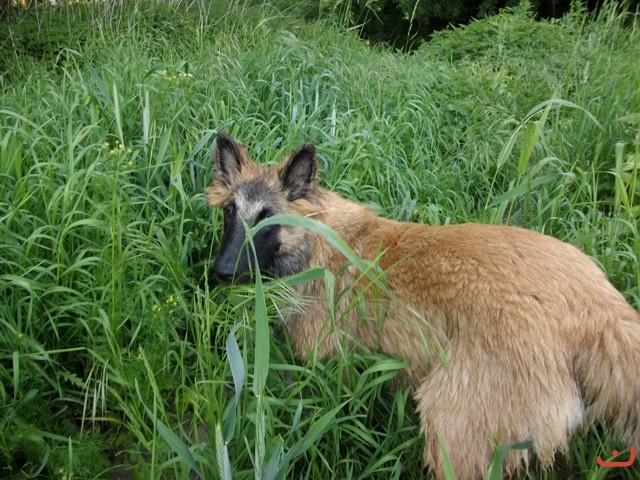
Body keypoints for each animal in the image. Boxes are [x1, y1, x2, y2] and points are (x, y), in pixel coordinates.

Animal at [205, 131, 640, 478]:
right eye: (230, 212)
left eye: (267, 221)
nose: (220, 273)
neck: (316, 238)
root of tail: (596, 308)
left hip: (453, 428)